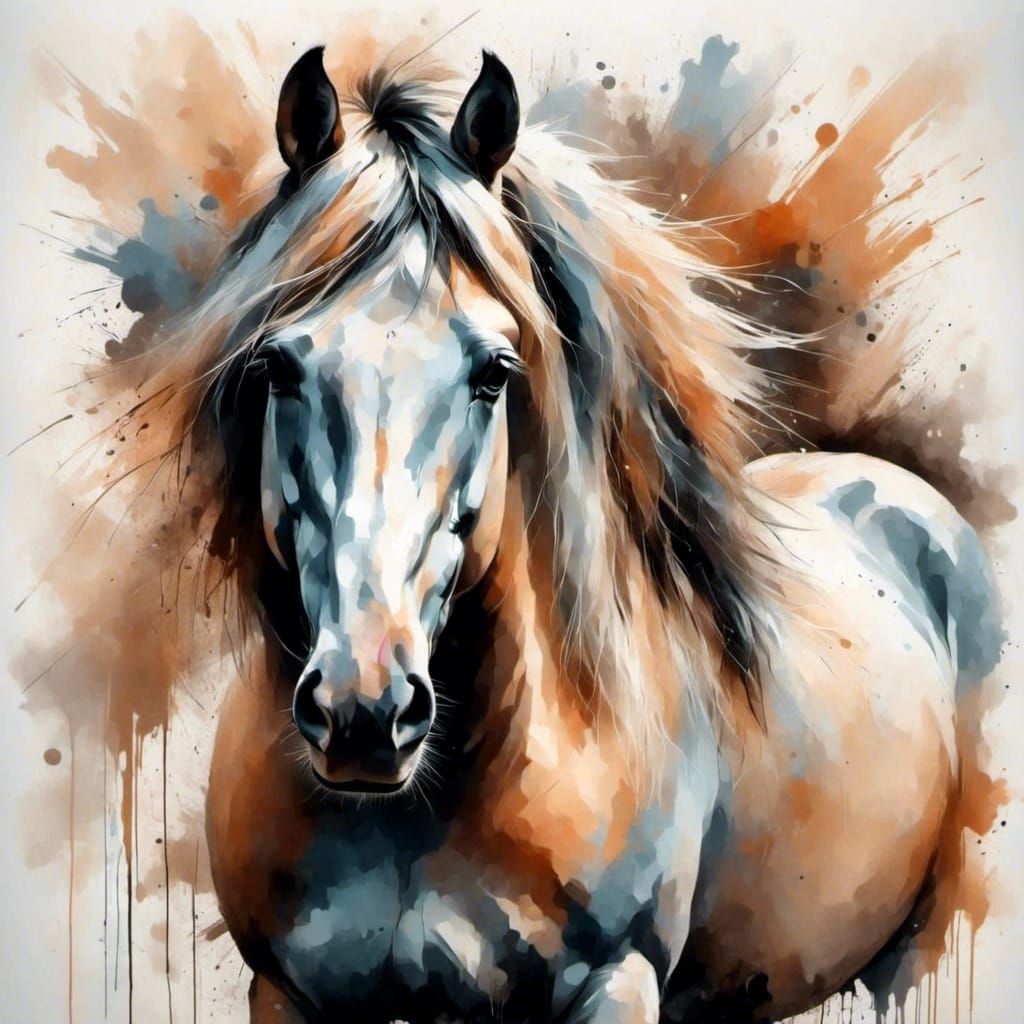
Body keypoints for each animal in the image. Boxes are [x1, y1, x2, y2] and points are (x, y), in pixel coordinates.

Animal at [187, 46, 1004, 1022]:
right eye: (278, 365)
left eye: (494, 372)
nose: (364, 712)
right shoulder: (285, 994)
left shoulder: (616, 983)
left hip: (916, 954)